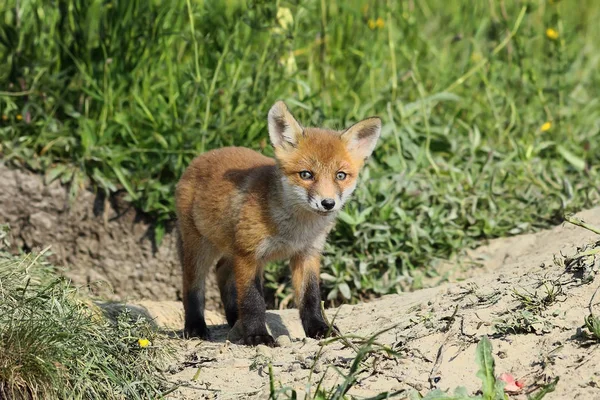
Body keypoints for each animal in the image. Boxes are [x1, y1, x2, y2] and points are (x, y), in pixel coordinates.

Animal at [175, 101, 380, 346]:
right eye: (306, 174)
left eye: (340, 176)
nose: (327, 203)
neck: (295, 231)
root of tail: (200, 158)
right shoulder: (249, 255)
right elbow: (253, 301)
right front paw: (257, 335)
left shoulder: (307, 253)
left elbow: (310, 298)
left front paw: (319, 328)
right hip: (200, 248)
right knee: (193, 285)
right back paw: (196, 326)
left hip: (230, 249)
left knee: (222, 271)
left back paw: (234, 320)